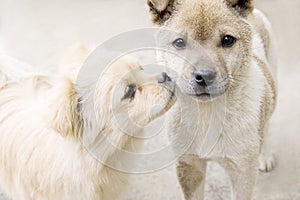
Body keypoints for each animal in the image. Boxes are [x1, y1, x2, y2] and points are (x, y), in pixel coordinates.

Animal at [147, 0, 276, 199]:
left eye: (228, 40)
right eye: (179, 42)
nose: (204, 76)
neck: (207, 113)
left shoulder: (243, 173)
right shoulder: (189, 165)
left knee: (268, 123)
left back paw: (265, 157)